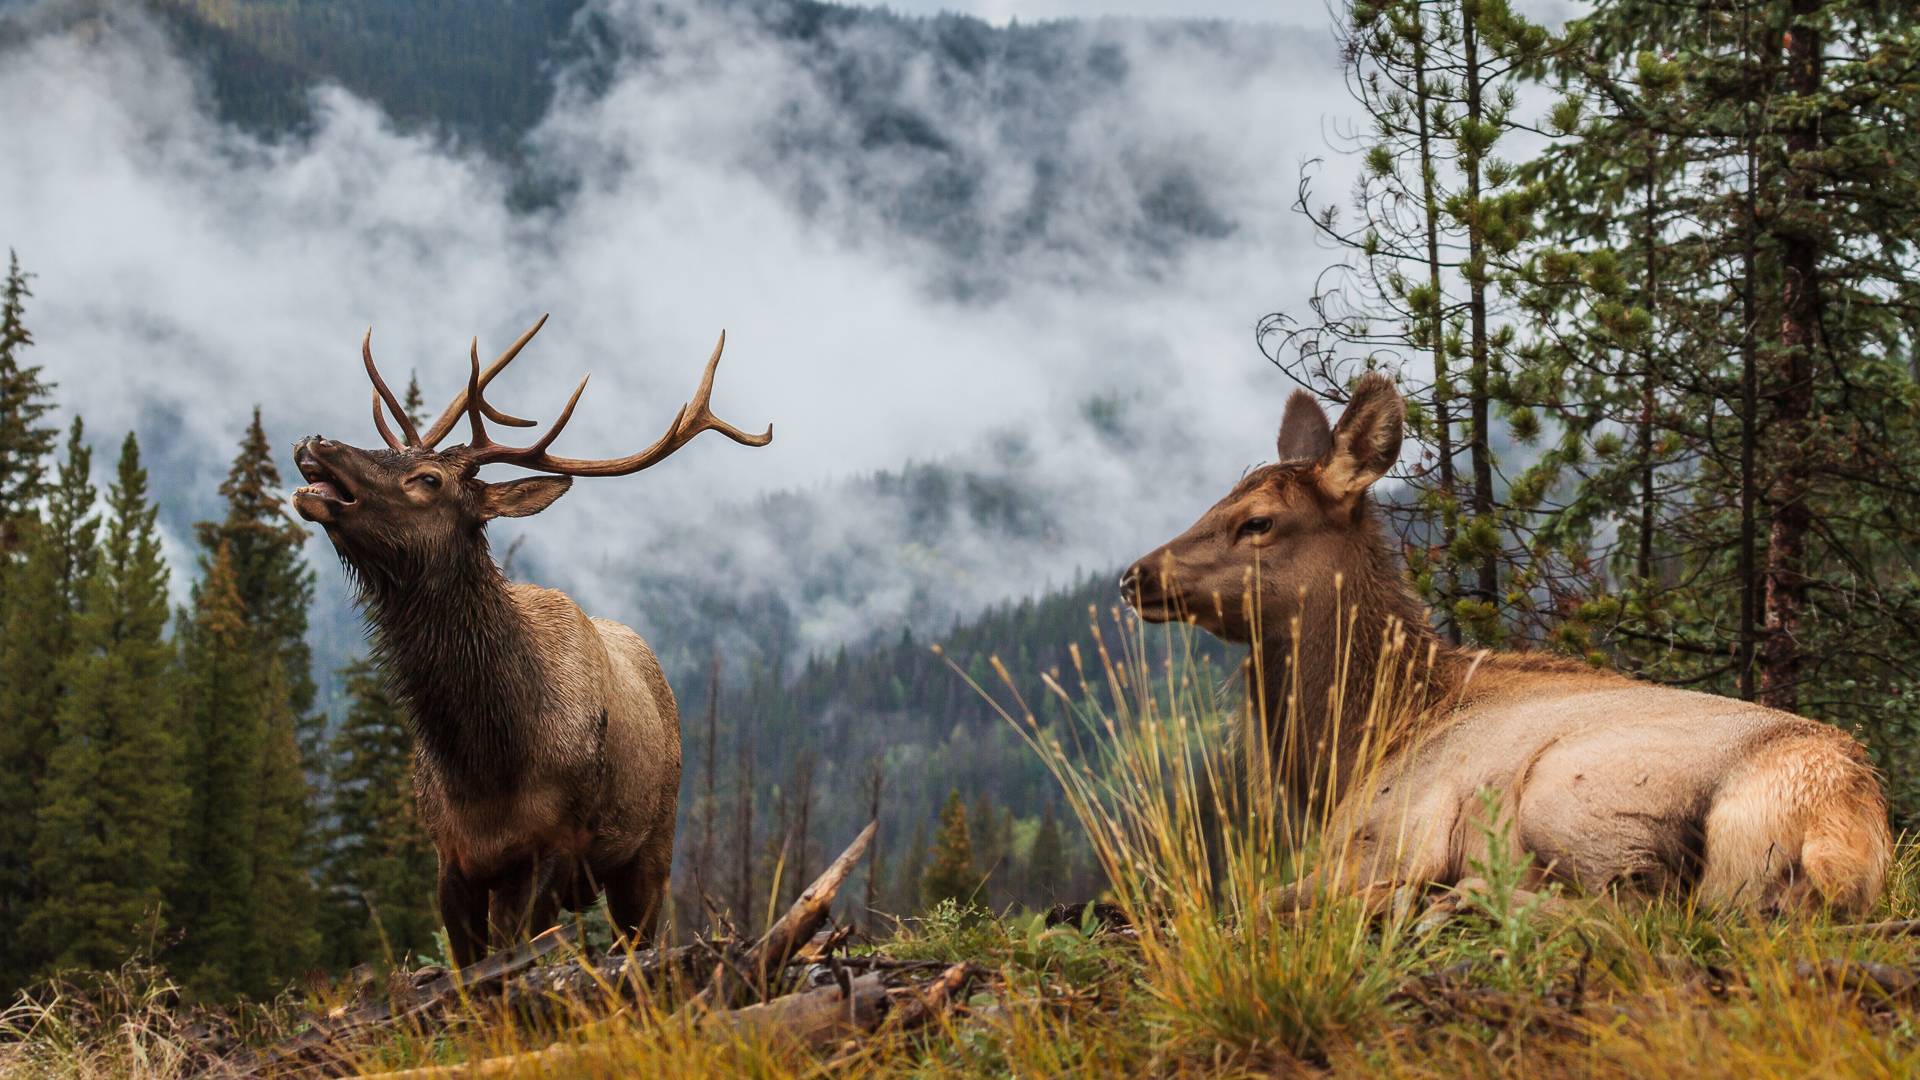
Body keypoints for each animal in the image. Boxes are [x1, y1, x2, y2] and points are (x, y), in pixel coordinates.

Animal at [291, 316, 770, 965]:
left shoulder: (555, 848)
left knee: (640, 937)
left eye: (427, 479)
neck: (486, 762)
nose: (317, 442)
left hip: (653, 845)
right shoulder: (451, 857)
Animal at [1121, 373, 1890, 917]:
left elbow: (1255, 902)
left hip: (1569, 794)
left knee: (1635, 907)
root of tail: (1839, 823)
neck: (1361, 743)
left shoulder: (1394, 833)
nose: (1136, 575)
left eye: (1257, 521)